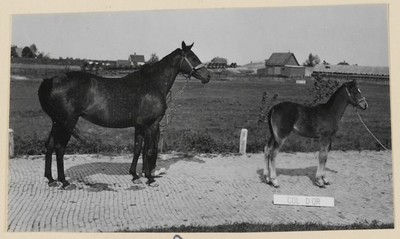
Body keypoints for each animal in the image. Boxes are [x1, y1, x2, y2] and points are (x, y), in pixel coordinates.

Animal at [38, 42, 211, 189]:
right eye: (193, 57)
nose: (208, 76)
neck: (152, 83)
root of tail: (52, 80)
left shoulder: (140, 125)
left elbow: (137, 149)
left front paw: (135, 175)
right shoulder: (152, 124)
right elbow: (149, 150)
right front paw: (150, 178)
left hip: (57, 122)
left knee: (50, 144)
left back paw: (51, 179)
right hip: (68, 122)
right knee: (60, 147)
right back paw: (64, 181)